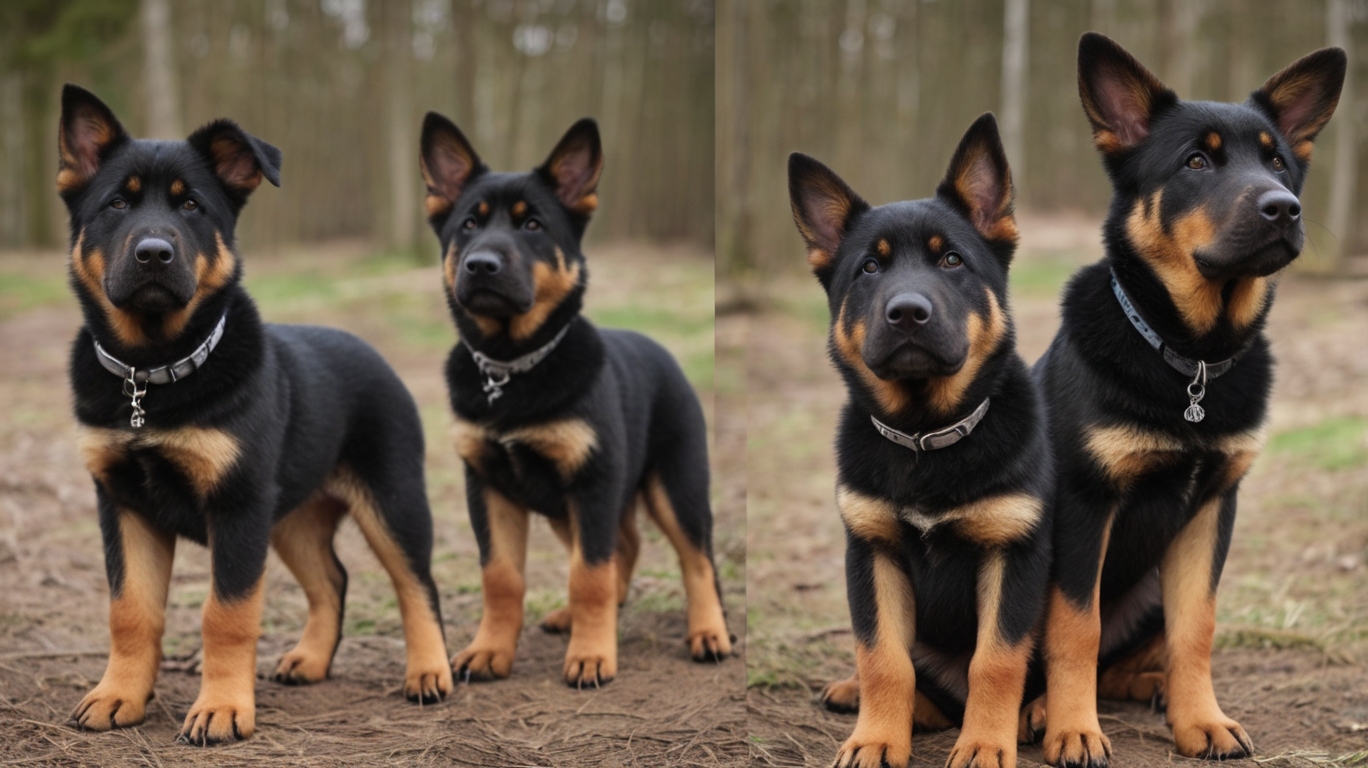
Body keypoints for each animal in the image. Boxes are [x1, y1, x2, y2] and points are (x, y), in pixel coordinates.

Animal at [58, 85, 454, 744]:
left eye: (191, 206)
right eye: (116, 203)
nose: (154, 253)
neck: (153, 368)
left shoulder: (238, 506)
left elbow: (227, 614)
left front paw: (220, 708)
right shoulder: (123, 504)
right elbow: (130, 611)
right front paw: (119, 696)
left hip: (391, 499)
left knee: (416, 584)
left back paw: (429, 671)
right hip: (291, 514)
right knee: (332, 580)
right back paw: (310, 660)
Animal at [418, 110, 733, 684]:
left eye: (532, 226)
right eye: (469, 225)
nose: (480, 264)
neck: (512, 367)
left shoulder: (593, 483)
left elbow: (590, 575)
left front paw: (591, 654)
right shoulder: (489, 487)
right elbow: (502, 576)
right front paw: (491, 649)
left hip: (673, 487)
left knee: (695, 560)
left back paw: (708, 631)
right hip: (570, 509)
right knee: (624, 548)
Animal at [787, 113, 1050, 766]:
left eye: (952, 260)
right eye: (869, 268)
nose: (907, 312)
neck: (925, 434)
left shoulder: (1012, 555)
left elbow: (996, 661)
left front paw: (984, 744)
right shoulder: (872, 554)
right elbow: (883, 658)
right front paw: (878, 737)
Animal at [1028, 32, 1346, 761]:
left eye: (1278, 162)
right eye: (1197, 161)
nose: (1283, 208)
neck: (1189, 356)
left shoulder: (1210, 511)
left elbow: (1196, 627)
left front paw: (1200, 719)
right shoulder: (1085, 507)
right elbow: (1076, 628)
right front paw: (1074, 729)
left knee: (1130, 659)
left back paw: (1151, 686)